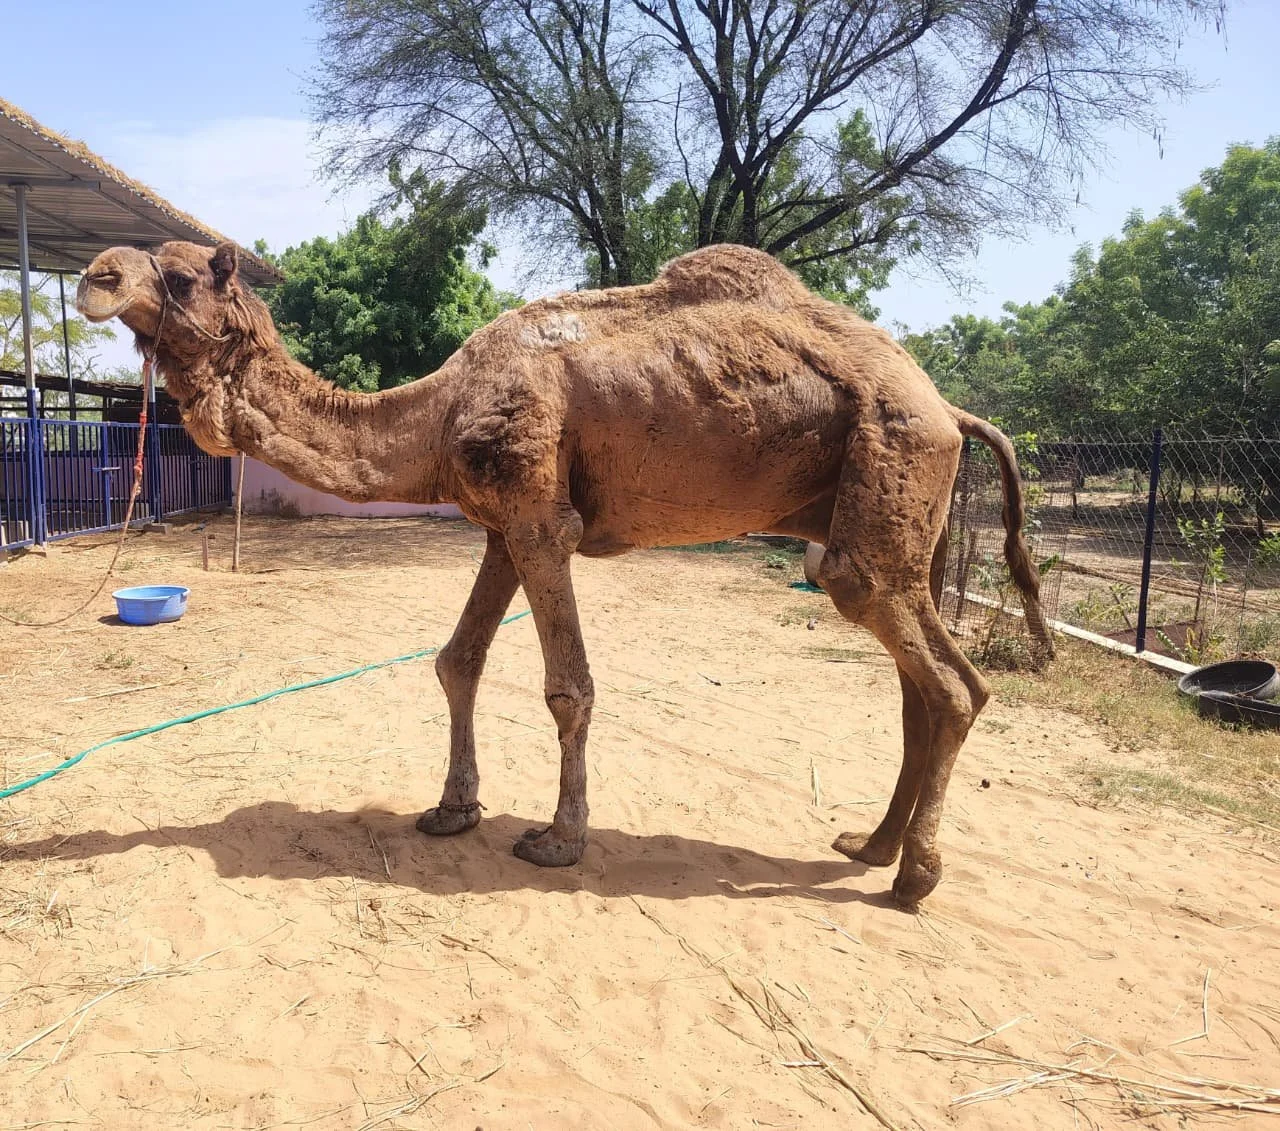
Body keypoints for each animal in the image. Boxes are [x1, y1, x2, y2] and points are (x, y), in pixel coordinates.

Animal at [76, 239, 1053, 906]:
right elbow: (457, 660)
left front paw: (557, 838)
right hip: (906, 521)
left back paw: (914, 876)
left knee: (945, 681)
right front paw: (450, 810)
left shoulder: (542, 518)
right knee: (927, 689)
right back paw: (869, 845)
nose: (95, 275)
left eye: (182, 275)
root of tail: (951, 408)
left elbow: (567, 687)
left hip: (882, 497)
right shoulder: (500, 528)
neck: (436, 414)